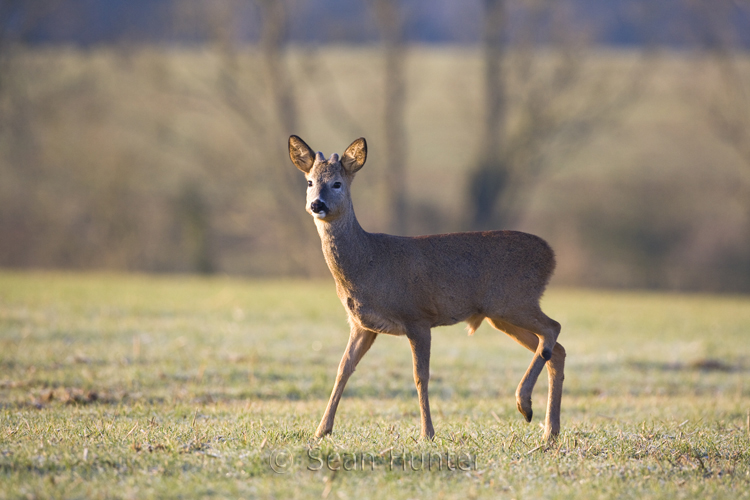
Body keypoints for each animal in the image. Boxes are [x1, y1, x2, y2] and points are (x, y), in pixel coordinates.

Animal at [290, 135, 568, 440]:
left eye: (337, 183)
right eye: (310, 182)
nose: (317, 204)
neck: (368, 262)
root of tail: (552, 256)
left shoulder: (417, 317)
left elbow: (420, 376)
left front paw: (427, 433)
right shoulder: (361, 325)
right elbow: (343, 369)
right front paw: (321, 430)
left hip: (514, 301)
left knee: (553, 329)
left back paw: (524, 404)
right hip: (501, 314)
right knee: (556, 350)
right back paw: (549, 431)